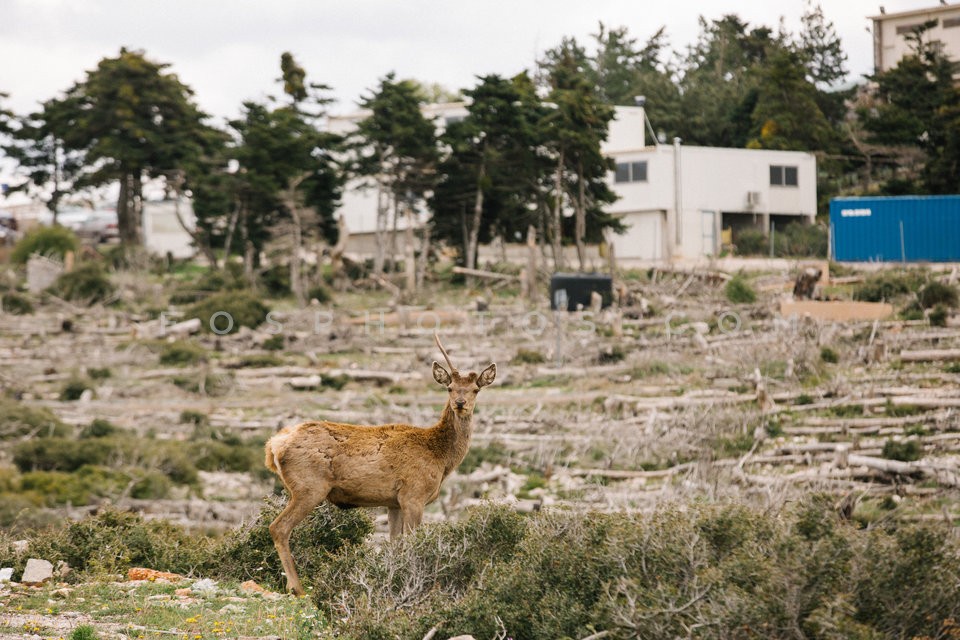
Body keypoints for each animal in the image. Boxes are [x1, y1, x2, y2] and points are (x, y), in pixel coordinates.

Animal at [266, 336, 498, 596]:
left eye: (475, 389)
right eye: (449, 388)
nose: (460, 403)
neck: (440, 458)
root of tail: (274, 445)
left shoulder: (394, 502)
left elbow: (395, 543)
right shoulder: (413, 494)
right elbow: (412, 541)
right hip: (309, 487)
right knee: (279, 527)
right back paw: (297, 588)